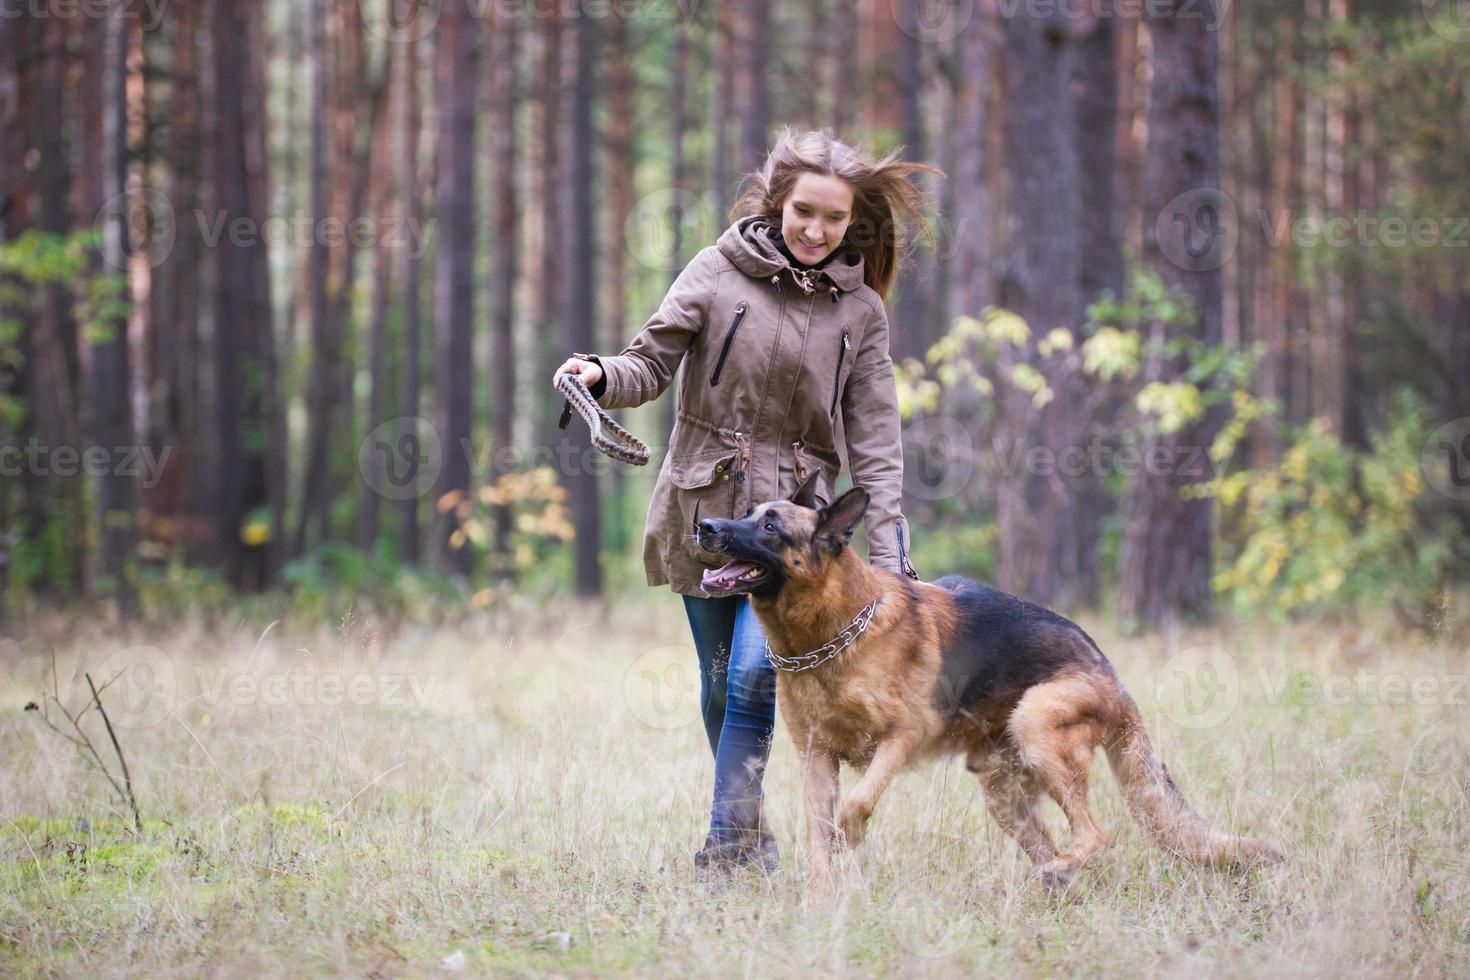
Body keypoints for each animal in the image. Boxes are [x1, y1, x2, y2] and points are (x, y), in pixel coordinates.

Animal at [693, 473, 1281, 899]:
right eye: (747, 513)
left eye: (771, 526)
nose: (705, 526)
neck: (831, 634)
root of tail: (1111, 676)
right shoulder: (815, 758)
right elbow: (819, 835)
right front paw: (821, 896)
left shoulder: (900, 739)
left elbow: (855, 806)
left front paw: (849, 840)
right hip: (1005, 796)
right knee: (1061, 848)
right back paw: (1055, 886)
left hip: (1038, 723)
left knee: (1094, 835)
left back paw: (1052, 878)